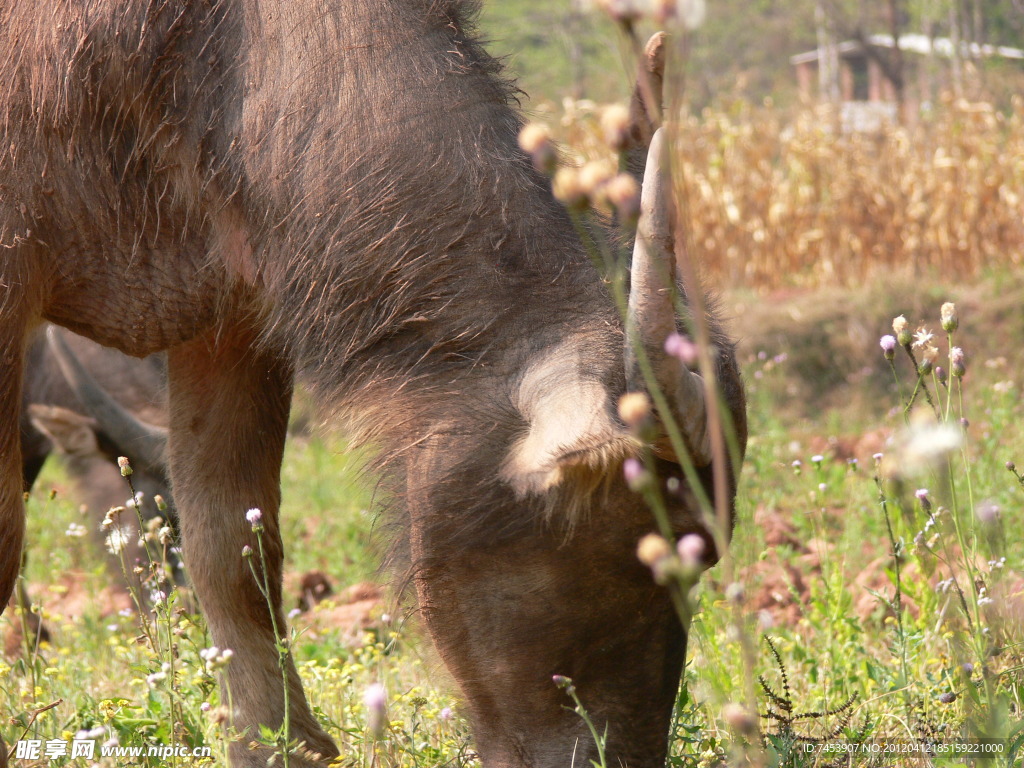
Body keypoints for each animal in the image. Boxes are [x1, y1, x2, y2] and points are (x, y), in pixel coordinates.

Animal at [0, 3, 745, 765]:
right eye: (640, 546)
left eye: (710, 551)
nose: (612, 753)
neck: (213, 56)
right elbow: (7, 536)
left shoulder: (228, 320)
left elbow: (234, 544)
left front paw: (276, 743)